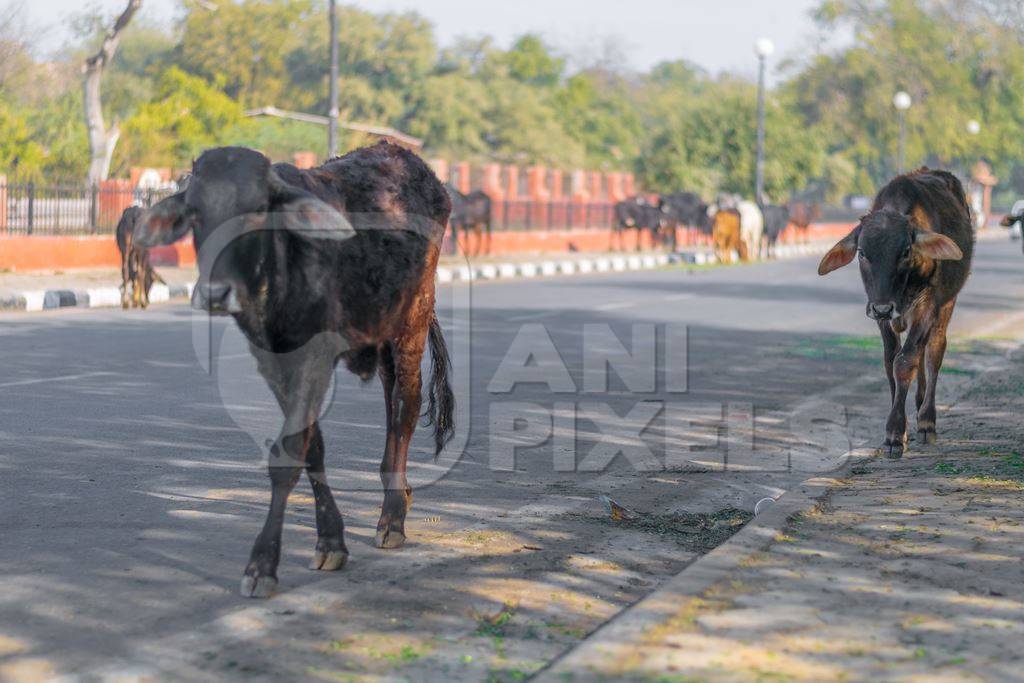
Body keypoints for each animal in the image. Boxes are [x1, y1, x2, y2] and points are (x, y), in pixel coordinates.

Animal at [815, 169, 974, 458]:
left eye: (906, 251)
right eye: (862, 252)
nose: (883, 307)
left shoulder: (927, 306)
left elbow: (905, 361)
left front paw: (895, 433)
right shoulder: (881, 315)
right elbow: (891, 360)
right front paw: (900, 429)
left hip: (947, 303)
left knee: (933, 352)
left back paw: (927, 420)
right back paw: (919, 405)